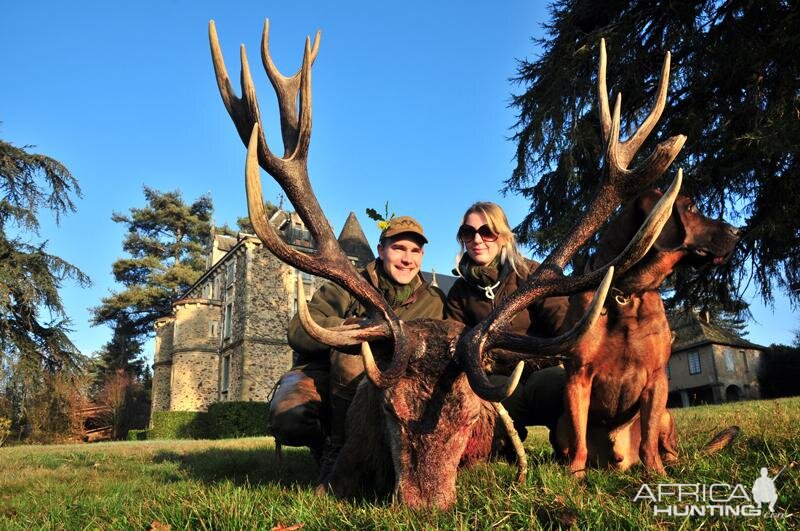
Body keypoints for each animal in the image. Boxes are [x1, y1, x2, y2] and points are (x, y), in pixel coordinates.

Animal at [556, 189, 736, 476]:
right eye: (691, 207)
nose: (737, 231)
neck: (626, 293)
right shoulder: (578, 376)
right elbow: (578, 439)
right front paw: (575, 475)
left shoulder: (657, 377)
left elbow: (649, 441)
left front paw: (657, 475)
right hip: (560, 423)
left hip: (666, 415)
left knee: (668, 449)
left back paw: (672, 465)